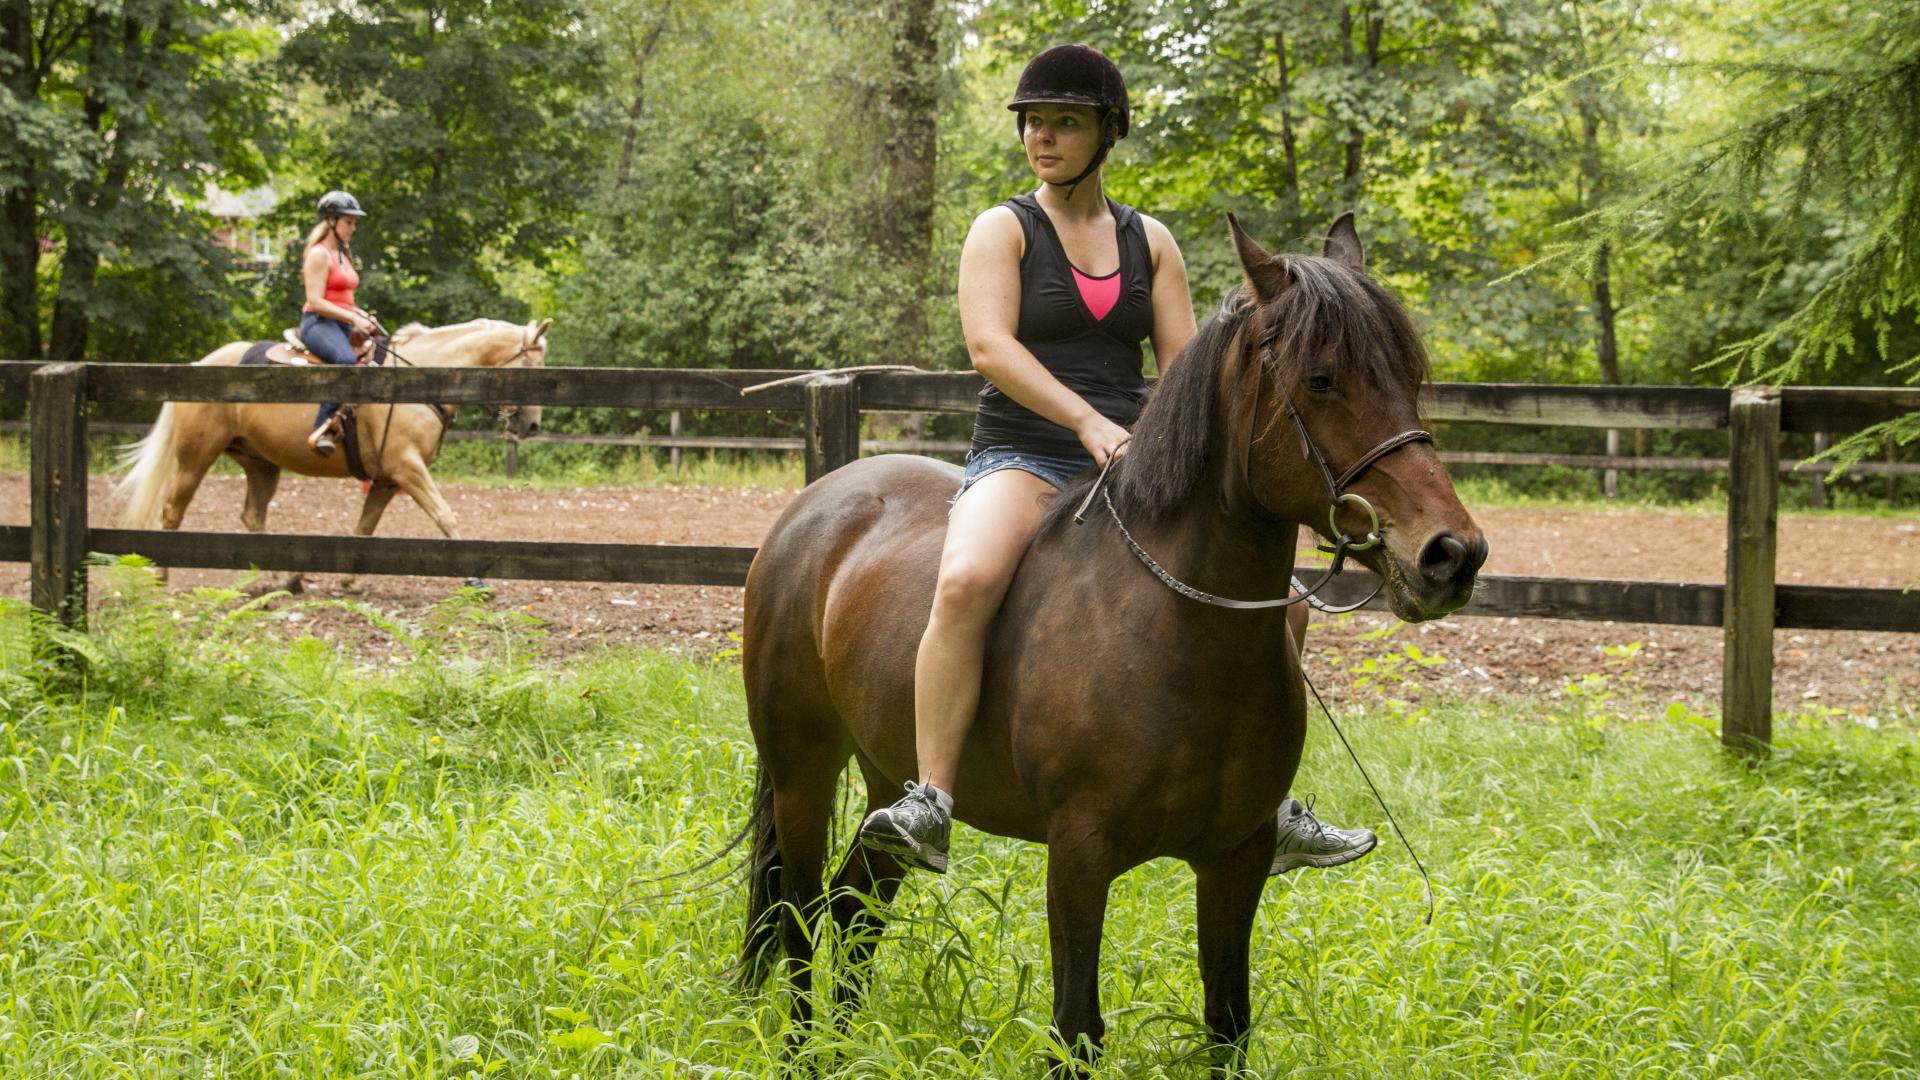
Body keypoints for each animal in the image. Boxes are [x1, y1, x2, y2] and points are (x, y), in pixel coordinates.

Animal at [112, 317, 549, 592]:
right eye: (533, 364)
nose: (531, 425)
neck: (423, 375)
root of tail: (198, 364)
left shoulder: (387, 479)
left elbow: (365, 527)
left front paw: (348, 579)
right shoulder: (407, 468)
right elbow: (445, 515)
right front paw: (475, 578)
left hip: (260, 463)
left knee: (252, 515)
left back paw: (287, 578)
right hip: (196, 457)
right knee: (173, 510)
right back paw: (162, 579)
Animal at [735, 215, 1488, 1072]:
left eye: (1410, 375)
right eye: (1323, 379)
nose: (1451, 555)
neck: (1180, 634)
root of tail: (817, 506)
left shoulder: (1237, 858)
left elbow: (1227, 1021)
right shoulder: (1079, 852)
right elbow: (1078, 1029)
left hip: (883, 774)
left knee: (853, 904)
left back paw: (846, 1046)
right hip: (804, 770)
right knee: (798, 914)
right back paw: (803, 1053)